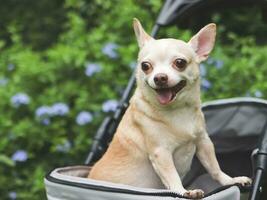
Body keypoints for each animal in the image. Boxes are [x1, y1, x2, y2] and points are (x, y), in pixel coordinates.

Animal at [89, 18, 252, 198]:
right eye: (145, 66)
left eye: (180, 63)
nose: (160, 77)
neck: (177, 110)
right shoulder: (161, 153)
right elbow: (172, 176)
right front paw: (184, 192)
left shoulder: (203, 142)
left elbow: (214, 167)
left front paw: (230, 180)